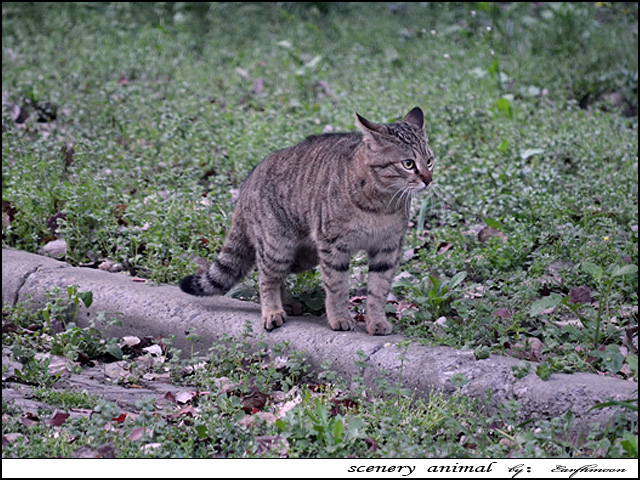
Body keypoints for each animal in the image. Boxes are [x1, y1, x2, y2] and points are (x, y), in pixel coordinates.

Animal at [180, 107, 436, 336]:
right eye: (408, 163)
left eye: (430, 160)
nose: (428, 180)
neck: (381, 205)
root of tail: (248, 182)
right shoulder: (333, 247)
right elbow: (337, 287)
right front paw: (339, 318)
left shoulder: (387, 249)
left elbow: (378, 290)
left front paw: (376, 320)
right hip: (277, 246)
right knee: (266, 278)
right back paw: (272, 311)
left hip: (303, 256)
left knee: (276, 275)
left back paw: (287, 303)